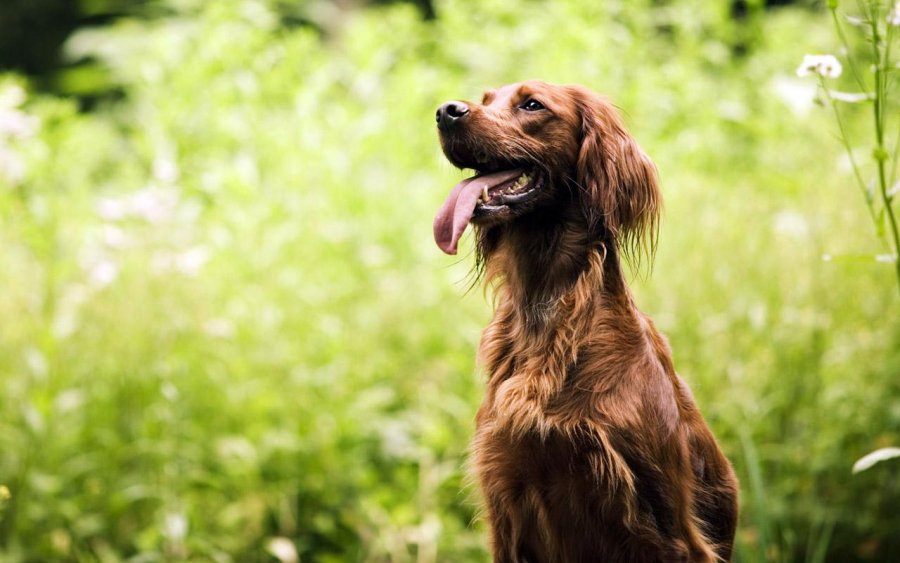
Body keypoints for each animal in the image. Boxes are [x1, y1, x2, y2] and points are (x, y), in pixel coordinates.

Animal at [434, 80, 740, 563]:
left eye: (532, 104)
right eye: (485, 100)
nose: (446, 111)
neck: (546, 314)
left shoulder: (668, 528)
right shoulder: (506, 505)